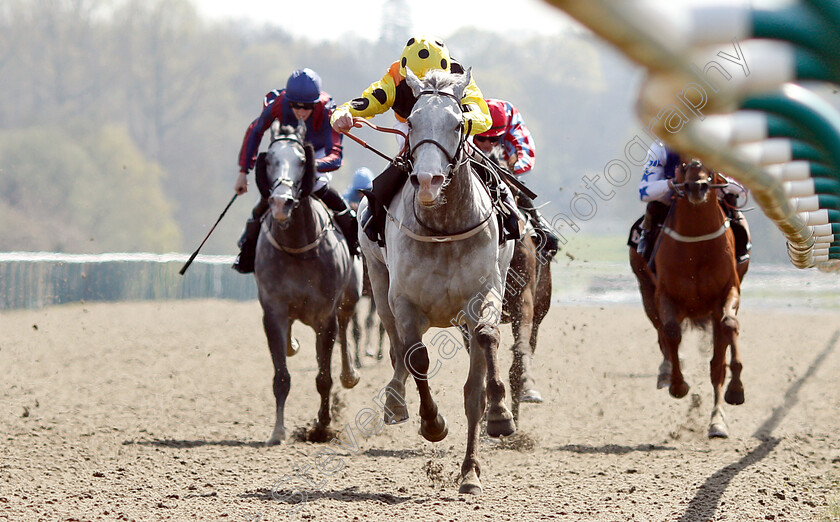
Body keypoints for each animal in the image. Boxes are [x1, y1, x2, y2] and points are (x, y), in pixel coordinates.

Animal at [256, 121, 360, 442]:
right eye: (269, 160)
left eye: (302, 161)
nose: (281, 202)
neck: (297, 246)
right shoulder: (273, 311)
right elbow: (281, 377)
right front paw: (278, 431)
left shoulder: (325, 314)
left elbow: (324, 378)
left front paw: (323, 425)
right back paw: (293, 344)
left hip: (351, 296)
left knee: (346, 326)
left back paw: (350, 375)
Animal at [358, 68, 516, 492]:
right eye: (412, 121)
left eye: (459, 122)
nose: (428, 180)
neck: (443, 229)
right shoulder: (405, 302)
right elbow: (416, 357)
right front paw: (432, 423)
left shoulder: (483, 294)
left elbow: (484, 351)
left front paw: (498, 415)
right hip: (378, 282)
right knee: (397, 348)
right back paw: (395, 401)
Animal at [632, 158, 748, 434]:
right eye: (683, 165)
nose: (698, 187)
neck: (697, 246)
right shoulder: (665, 295)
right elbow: (672, 331)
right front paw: (677, 385)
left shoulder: (728, 291)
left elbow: (729, 327)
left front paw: (735, 391)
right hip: (646, 291)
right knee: (662, 332)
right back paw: (665, 373)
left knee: (718, 359)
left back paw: (717, 420)